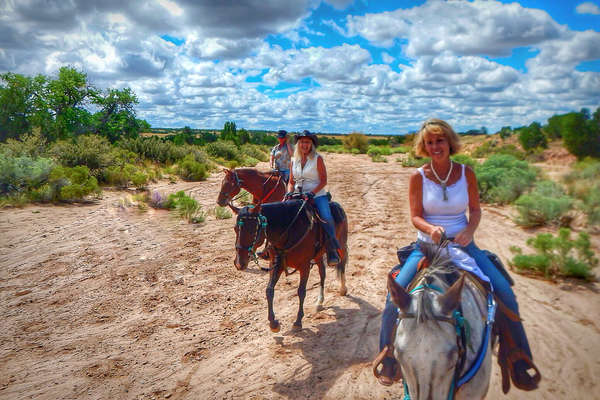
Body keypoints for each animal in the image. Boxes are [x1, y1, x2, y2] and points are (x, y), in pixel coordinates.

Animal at [231, 198, 352, 332]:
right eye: (235, 228)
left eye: (252, 229)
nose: (239, 263)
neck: (288, 231)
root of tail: (337, 205)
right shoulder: (276, 264)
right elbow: (269, 290)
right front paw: (273, 324)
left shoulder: (304, 266)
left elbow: (301, 291)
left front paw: (298, 321)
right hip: (318, 255)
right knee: (322, 273)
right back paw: (320, 302)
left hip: (341, 245)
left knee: (342, 264)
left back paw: (343, 289)